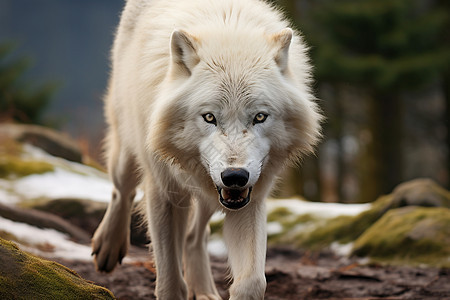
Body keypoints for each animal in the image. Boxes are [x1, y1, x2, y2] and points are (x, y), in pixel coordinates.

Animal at [93, 0, 322, 298]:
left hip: (207, 193)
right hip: (128, 148)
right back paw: (107, 246)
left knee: (195, 235)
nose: (235, 176)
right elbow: (169, 279)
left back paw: (203, 289)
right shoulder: (165, 193)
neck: (228, 31)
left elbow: (252, 281)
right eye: (210, 117)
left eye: (260, 117)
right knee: (121, 190)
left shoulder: (250, 200)